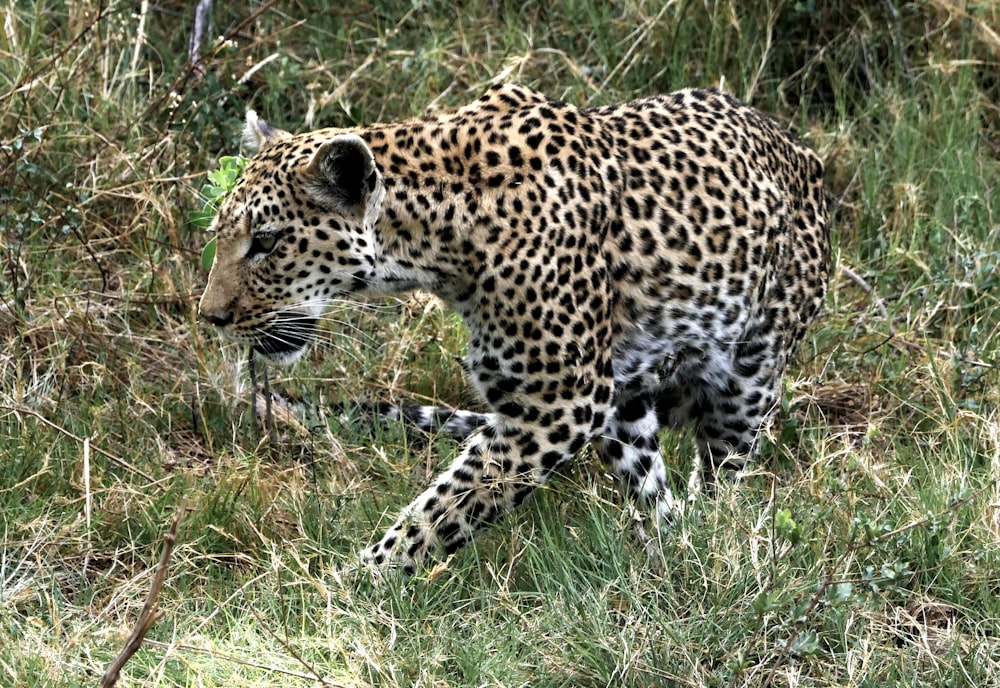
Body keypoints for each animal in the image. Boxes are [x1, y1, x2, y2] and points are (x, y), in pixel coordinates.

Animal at [199, 82, 832, 576]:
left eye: (268, 242)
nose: (211, 316)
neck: (437, 239)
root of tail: (802, 151)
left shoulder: (557, 404)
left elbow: (441, 511)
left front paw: (354, 590)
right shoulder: (565, 400)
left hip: (749, 378)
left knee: (723, 481)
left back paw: (708, 542)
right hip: (625, 402)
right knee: (655, 493)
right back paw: (663, 554)